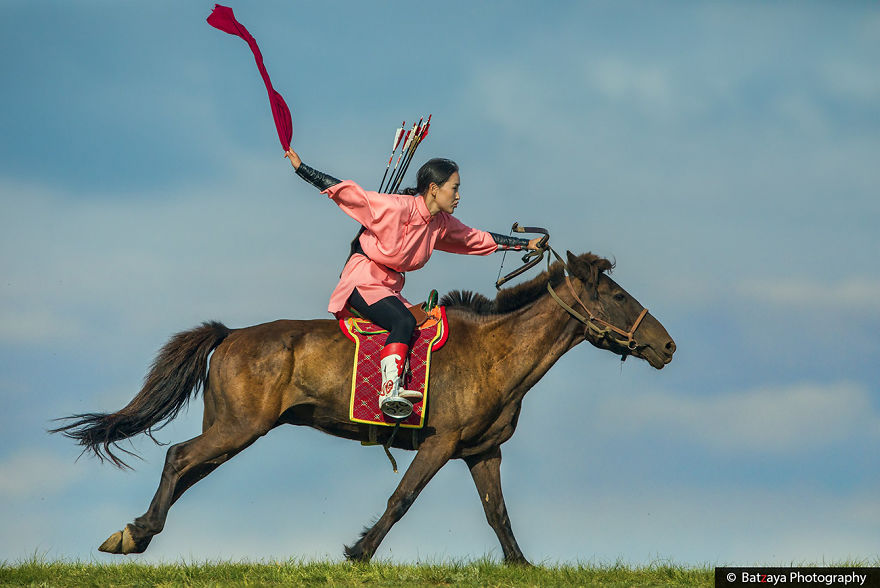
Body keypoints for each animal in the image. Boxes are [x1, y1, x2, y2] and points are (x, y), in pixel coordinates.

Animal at [51, 250, 675, 564]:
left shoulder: (482, 452)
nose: (667, 346)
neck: (496, 354)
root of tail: (228, 335)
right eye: (617, 295)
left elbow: (497, 513)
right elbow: (402, 498)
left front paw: (521, 566)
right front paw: (358, 551)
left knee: (186, 469)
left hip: (232, 430)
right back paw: (136, 532)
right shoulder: (440, 443)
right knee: (179, 458)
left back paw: (134, 532)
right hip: (238, 428)